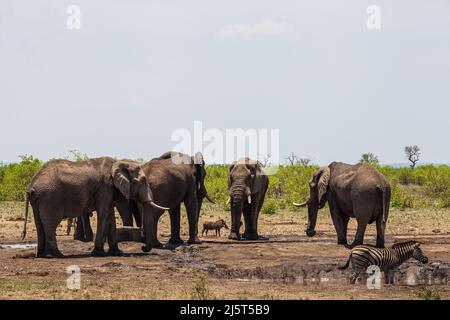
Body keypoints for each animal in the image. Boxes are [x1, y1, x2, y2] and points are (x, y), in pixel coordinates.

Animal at [22, 158, 168, 258]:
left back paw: (42, 255)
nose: (143, 247)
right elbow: (105, 213)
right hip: (50, 199)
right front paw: (99, 253)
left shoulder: (110, 190)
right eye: (142, 180)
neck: (119, 163)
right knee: (50, 224)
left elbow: (110, 216)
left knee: (39, 224)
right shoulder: (106, 187)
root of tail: (31, 186)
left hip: (39, 200)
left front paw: (117, 253)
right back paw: (58, 254)